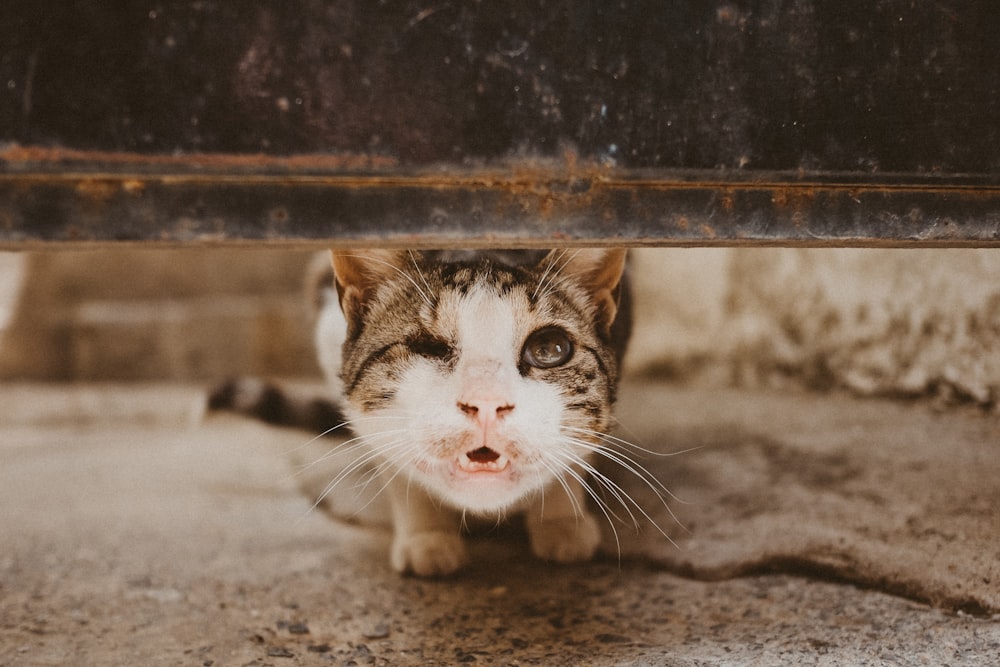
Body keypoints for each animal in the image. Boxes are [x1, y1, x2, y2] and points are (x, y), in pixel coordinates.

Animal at [209, 248, 640, 576]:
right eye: (427, 347)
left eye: (550, 349)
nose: (486, 401)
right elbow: (396, 462)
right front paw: (426, 537)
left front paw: (561, 520)